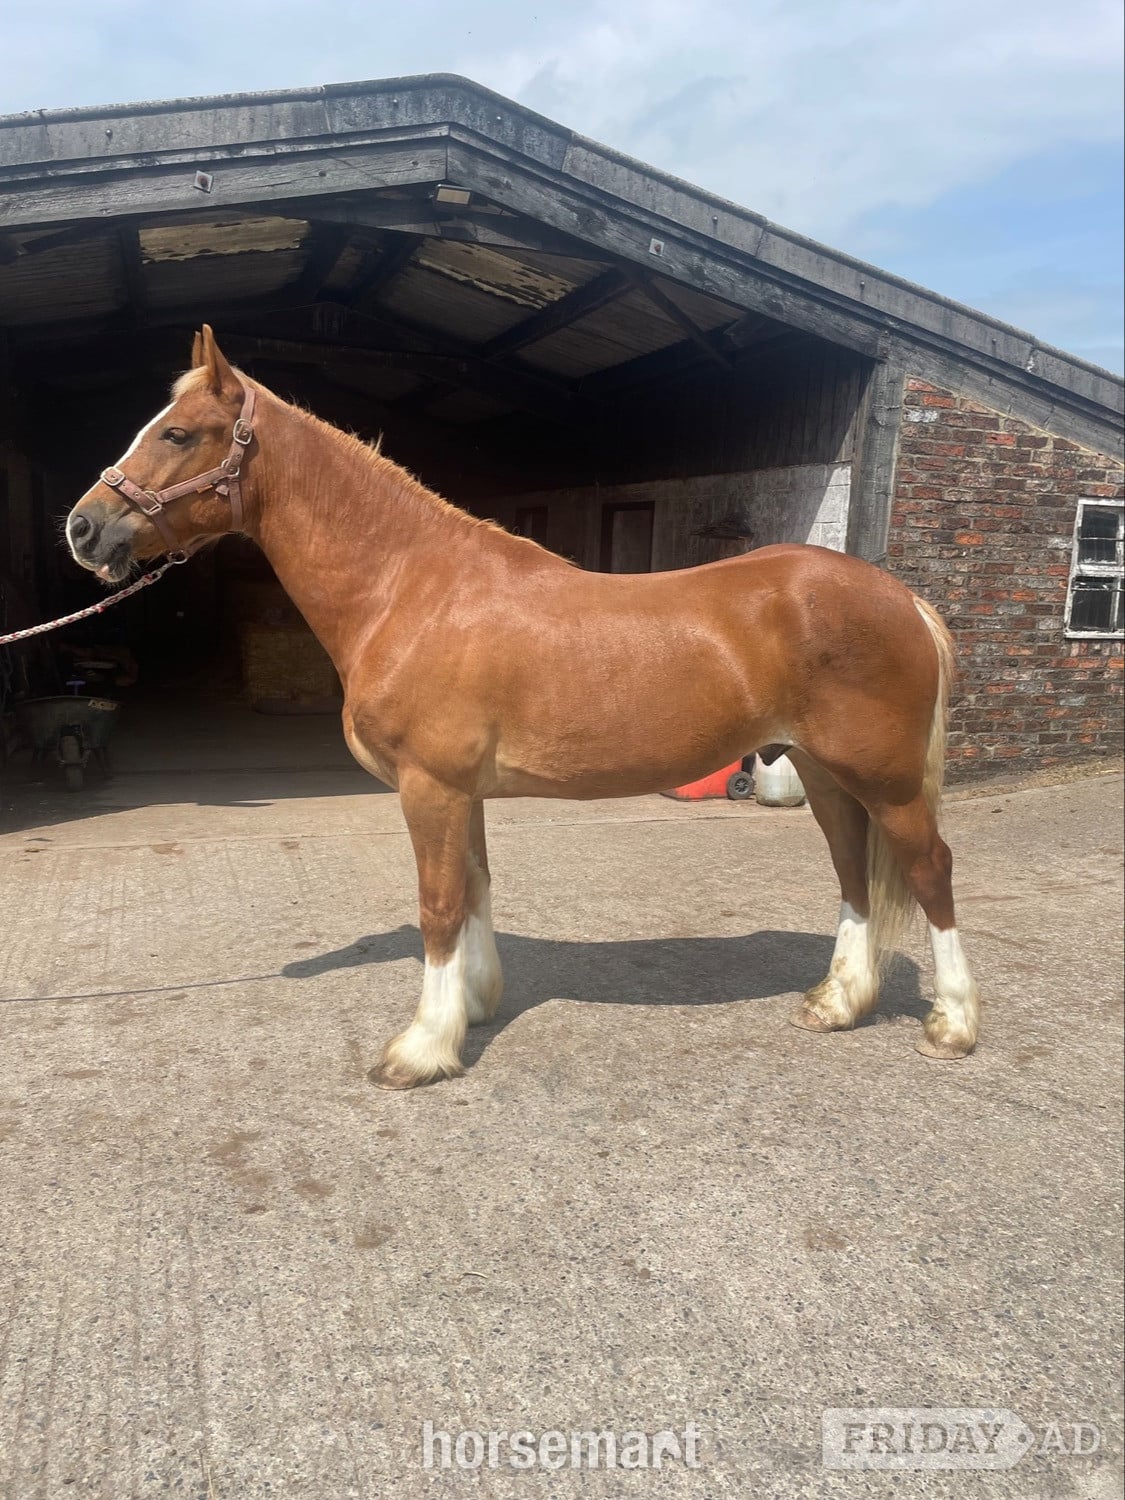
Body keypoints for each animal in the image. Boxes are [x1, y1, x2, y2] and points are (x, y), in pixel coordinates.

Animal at [65, 325, 981, 1090]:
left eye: (178, 433)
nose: (83, 528)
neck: (410, 587)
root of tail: (901, 597)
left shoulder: (430, 787)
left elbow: (438, 905)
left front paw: (420, 1050)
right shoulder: (458, 792)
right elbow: (473, 887)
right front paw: (471, 1009)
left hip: (886, 780)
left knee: (929, 869)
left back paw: (951, 1024)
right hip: (824, 774)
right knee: (852, 872)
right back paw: (837, 1004)